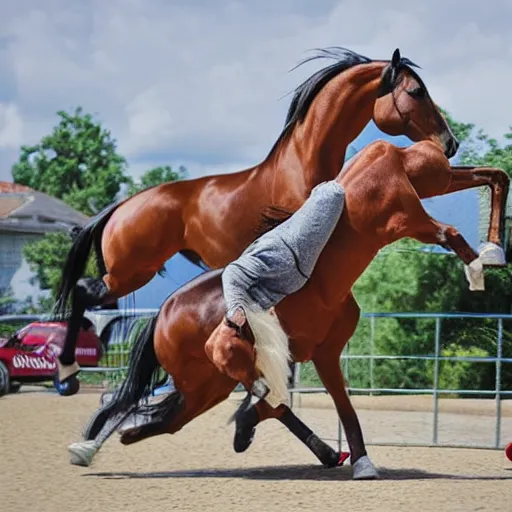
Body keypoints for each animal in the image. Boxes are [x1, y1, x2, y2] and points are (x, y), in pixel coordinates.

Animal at [53, 47, 476, 392]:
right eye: (416, 92)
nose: (450, 142)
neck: (302, 162)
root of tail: (119, 208)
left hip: (130, 274)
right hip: (130, 272)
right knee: (83, 293)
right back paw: (67, 373)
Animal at [66, 137, 486, 480]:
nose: (446, 146)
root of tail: (161, 317)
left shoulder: (322, 354)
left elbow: (331, 406)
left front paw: (359, 460)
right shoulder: (402, 217)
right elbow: (288, 401)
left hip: (205, 388)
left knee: (164, 418)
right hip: (205, 379)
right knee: (155, 409)